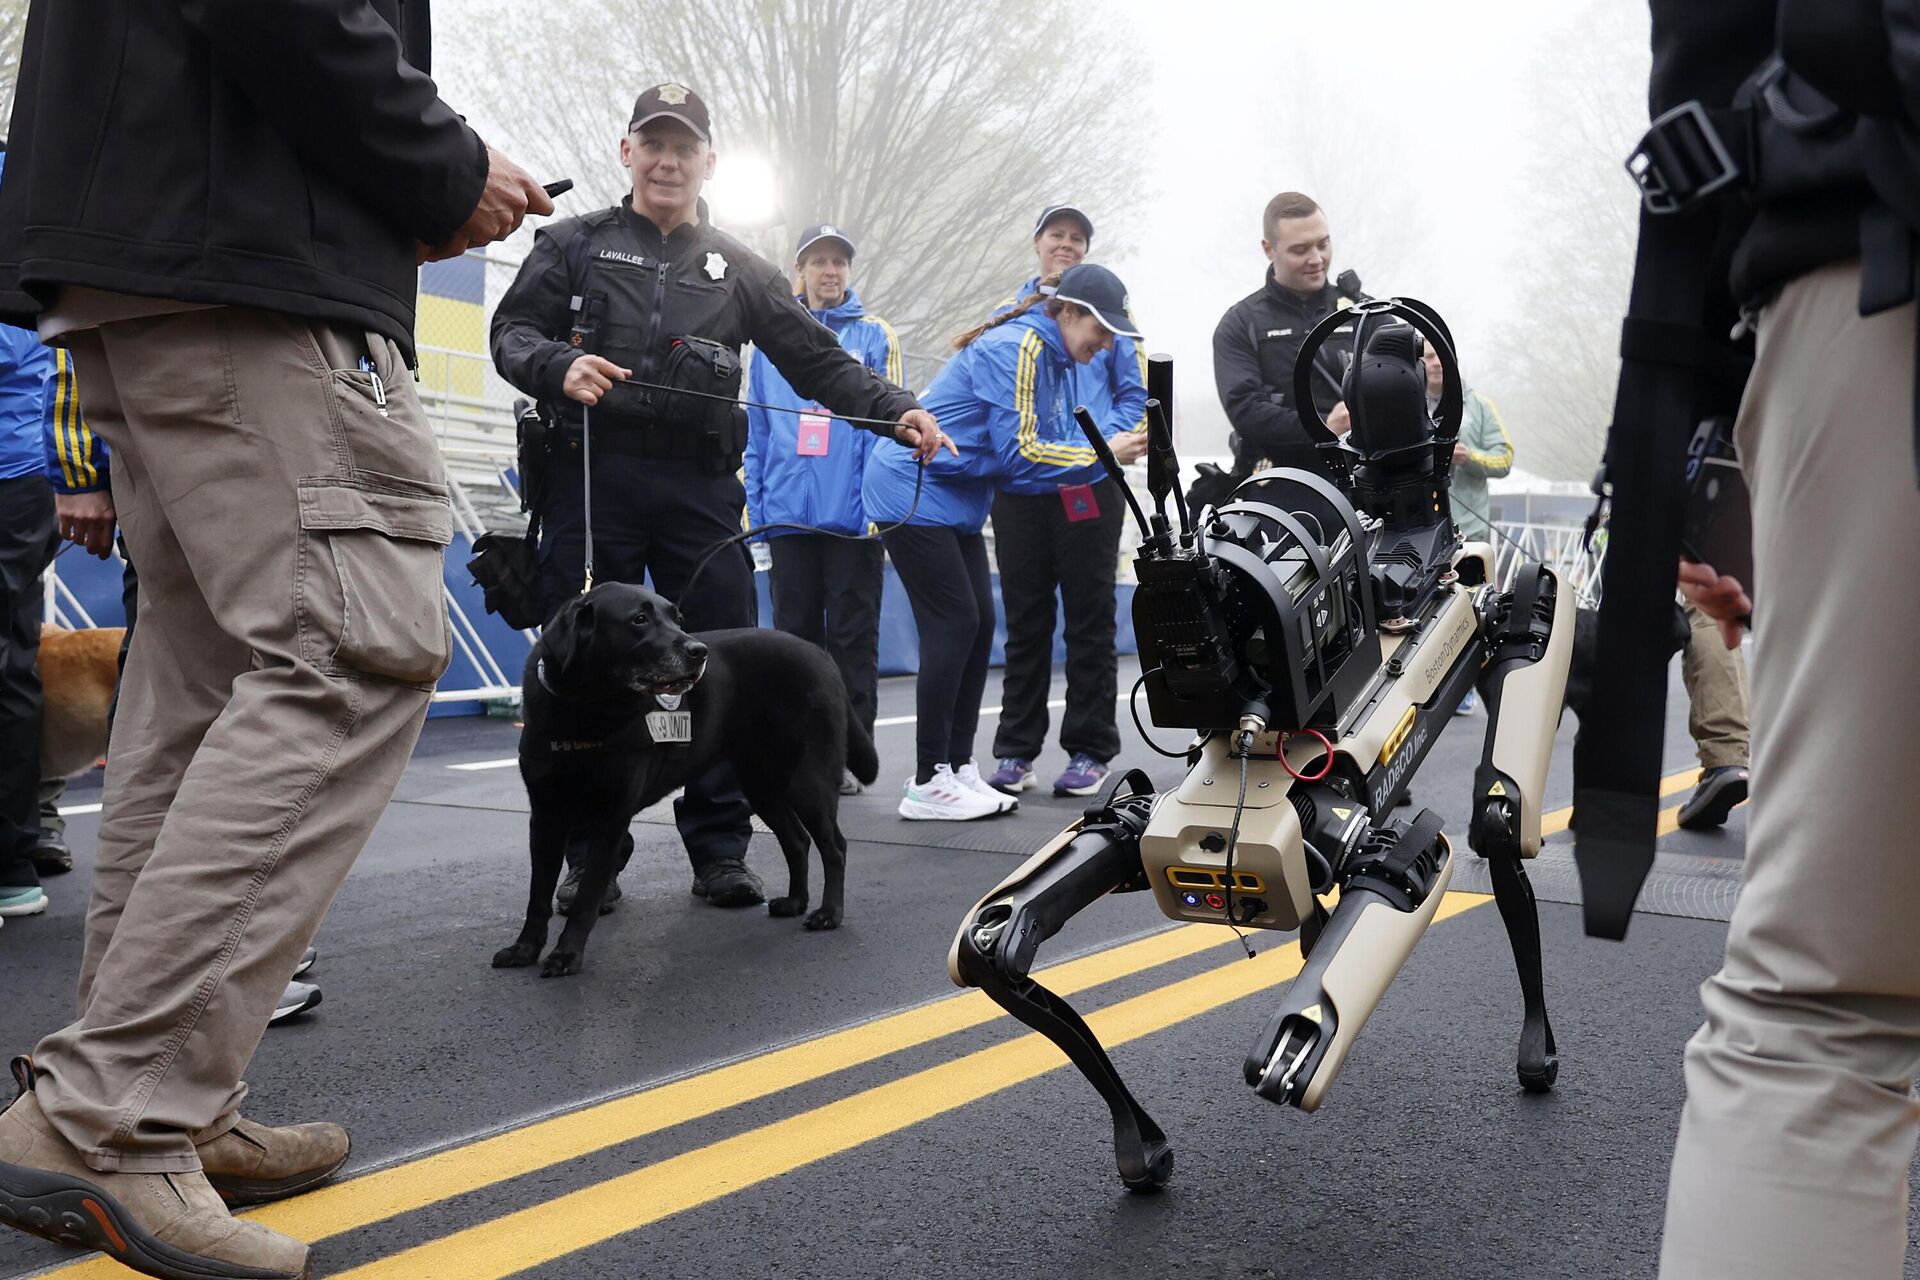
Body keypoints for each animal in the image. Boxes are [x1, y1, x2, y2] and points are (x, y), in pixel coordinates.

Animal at [495, 587, 883, 974]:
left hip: (807, 780)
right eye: (639, 619)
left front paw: (566, 955)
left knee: (834, 846)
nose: (700, 651)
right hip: (761, 785)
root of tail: (820, 654)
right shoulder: (545, 816)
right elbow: (537, 895)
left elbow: (587, 898)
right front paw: (524, 949)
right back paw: (795, 902)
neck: (583, 708)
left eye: (677, 619)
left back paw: (829, 913)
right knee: (797, 841)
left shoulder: (611, 818)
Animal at [948, 301, 1574, 1189]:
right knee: (995, 937)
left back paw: (1532, 1049)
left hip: (1505, 618)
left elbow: (1414, 860)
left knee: (1500, 817)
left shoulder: (1489, 618)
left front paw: (1298, 1038)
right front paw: (1142, 1147)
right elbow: (999, 938)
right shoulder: (1154, 827)